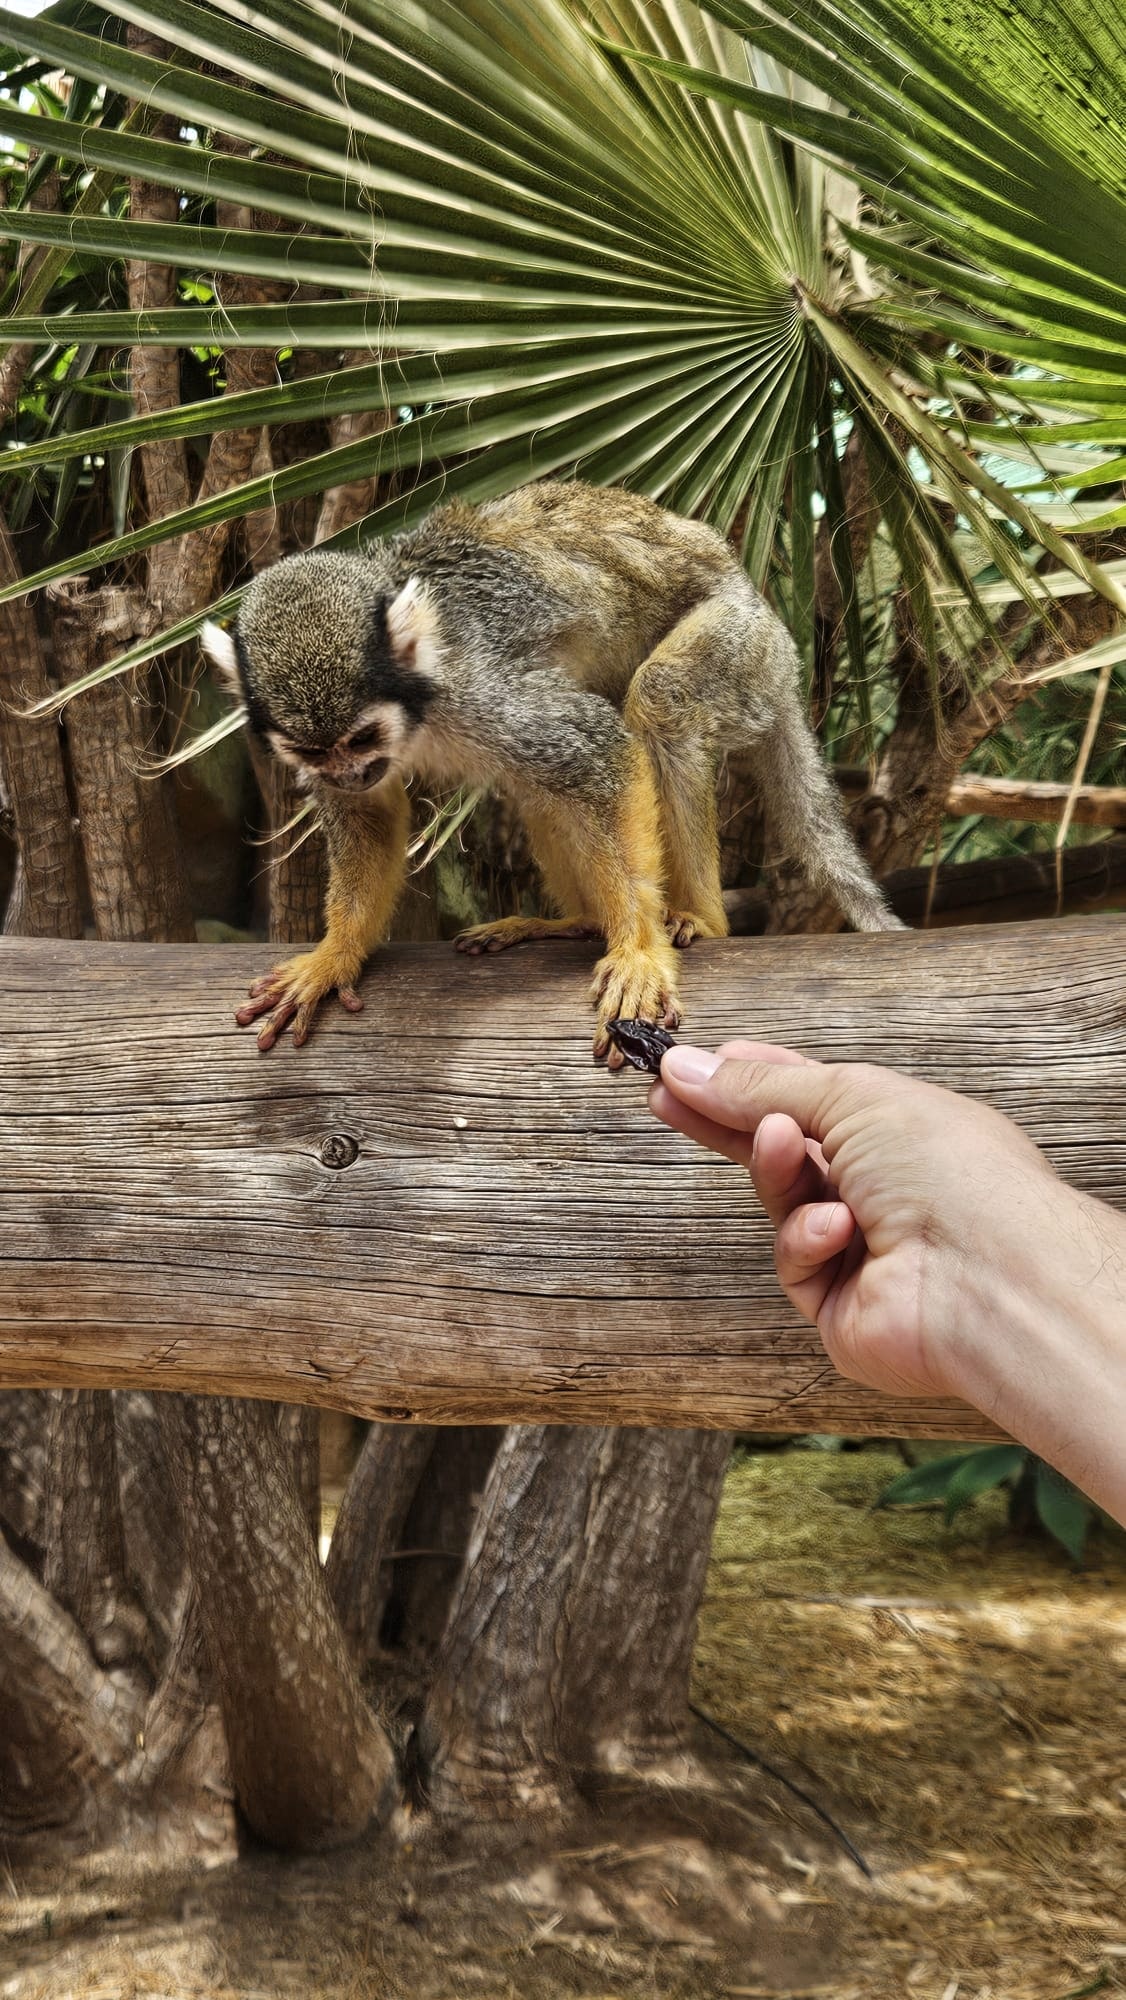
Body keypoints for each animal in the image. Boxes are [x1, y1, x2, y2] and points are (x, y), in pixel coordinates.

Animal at [203, 481, 901, 1066]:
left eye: (362, 738)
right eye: (314, 753)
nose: (349, 774)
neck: (419, 704)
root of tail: (779, 646)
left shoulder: (478, 690)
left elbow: (599, 749)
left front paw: (639, 950)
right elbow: (369, 819)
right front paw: (332, 957)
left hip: (740, 639)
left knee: (661, 701)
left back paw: (699, 920)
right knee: (542, 790)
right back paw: (577, 923)